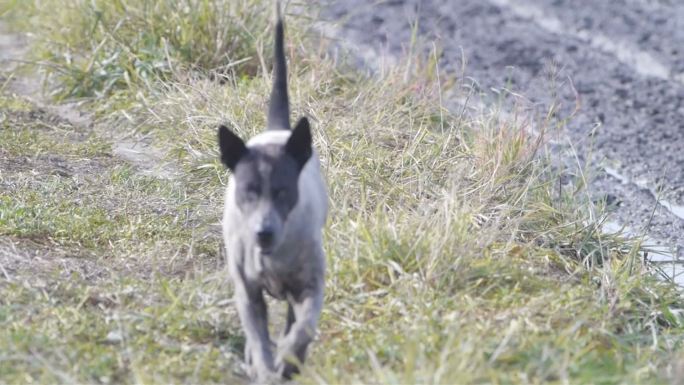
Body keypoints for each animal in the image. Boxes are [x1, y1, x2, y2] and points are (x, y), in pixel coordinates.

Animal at [218, 3, 328, 380]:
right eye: (248, 191)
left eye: (282, 192)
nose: (262, 233)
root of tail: (278, 130)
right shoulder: (248, 296)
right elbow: (258, 339)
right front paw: (265, 368)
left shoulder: (311, 285)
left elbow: (303, 328)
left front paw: (289, 358)